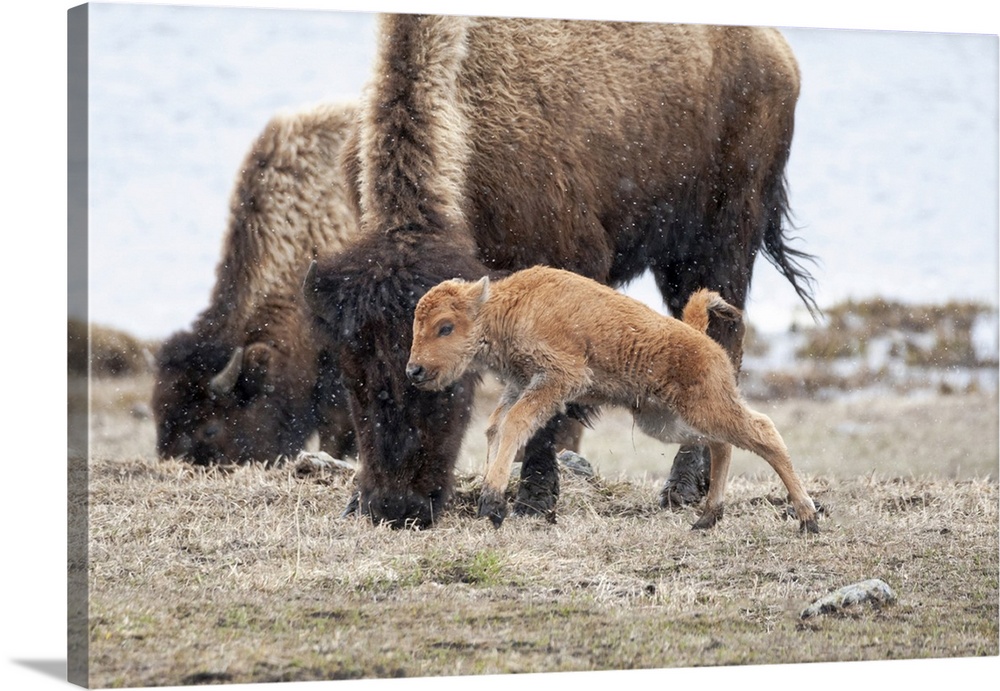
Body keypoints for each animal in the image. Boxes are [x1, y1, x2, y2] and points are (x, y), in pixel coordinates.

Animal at [406, 266, 820, 536]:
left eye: (445, 326)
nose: (414, 370)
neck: (507, 307)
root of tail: (701, 337)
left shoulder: (558, 378)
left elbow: (515, 423)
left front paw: (492, 504)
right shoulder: (519, 384)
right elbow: (495, 426)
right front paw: (488, 502)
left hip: (704, 406)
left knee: (762, 432)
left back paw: (807, 518)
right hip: (665, 420)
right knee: (721, 444)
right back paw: (706, 519)